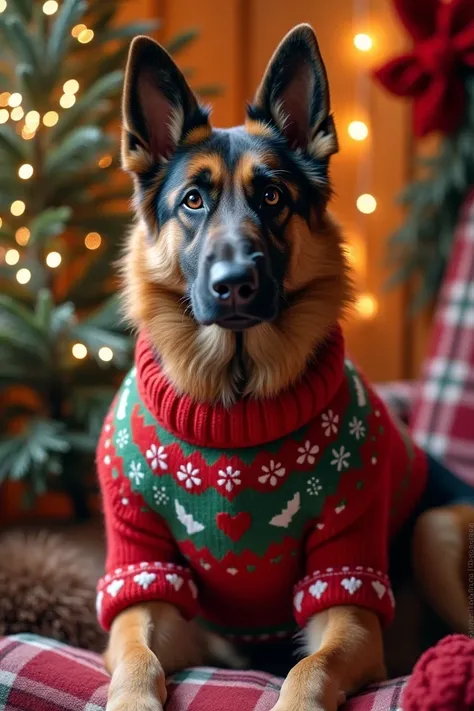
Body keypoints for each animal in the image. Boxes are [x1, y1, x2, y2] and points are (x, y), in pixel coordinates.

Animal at [102, 22, 472, 711]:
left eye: (271, 195)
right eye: (192, 200)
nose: (234, 285)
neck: (237, 399)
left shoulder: (347, 586)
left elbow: (311, 669)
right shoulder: (143, 582)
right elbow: (137, 659)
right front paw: (132, 698)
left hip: (435, 529)